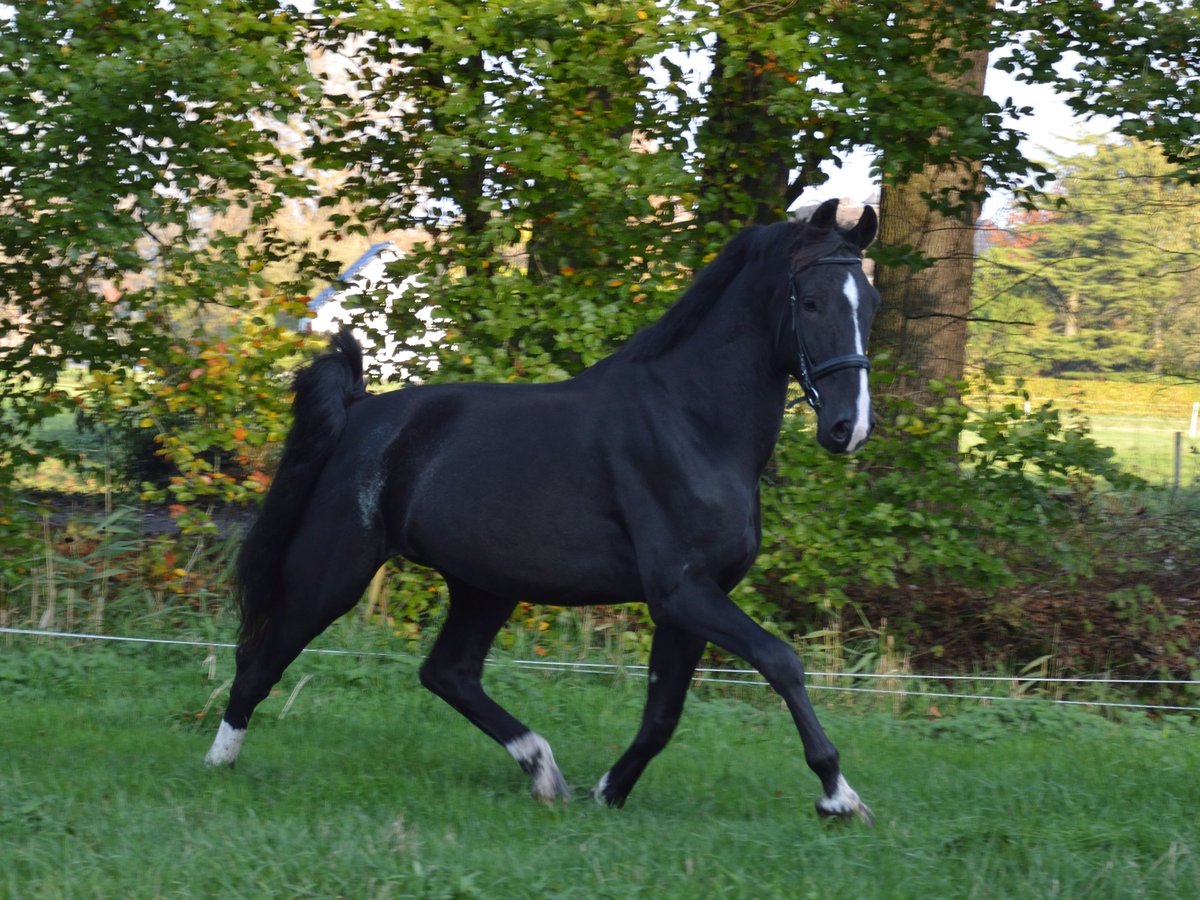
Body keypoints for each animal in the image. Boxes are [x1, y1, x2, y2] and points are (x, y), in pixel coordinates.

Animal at [206, 196, 878, 825]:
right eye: (811, 302)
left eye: (868, 303)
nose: (849, 428)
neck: (693, 423)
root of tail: (358, 411)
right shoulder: (682, 592)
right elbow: (781, 661)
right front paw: (839, 797)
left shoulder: (693, 601)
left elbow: (663, 712)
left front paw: (609, 792)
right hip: (333, 572)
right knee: (261, 657)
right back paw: (219, 764)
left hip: (484, 586)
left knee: (447, 672)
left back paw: (543, 772)